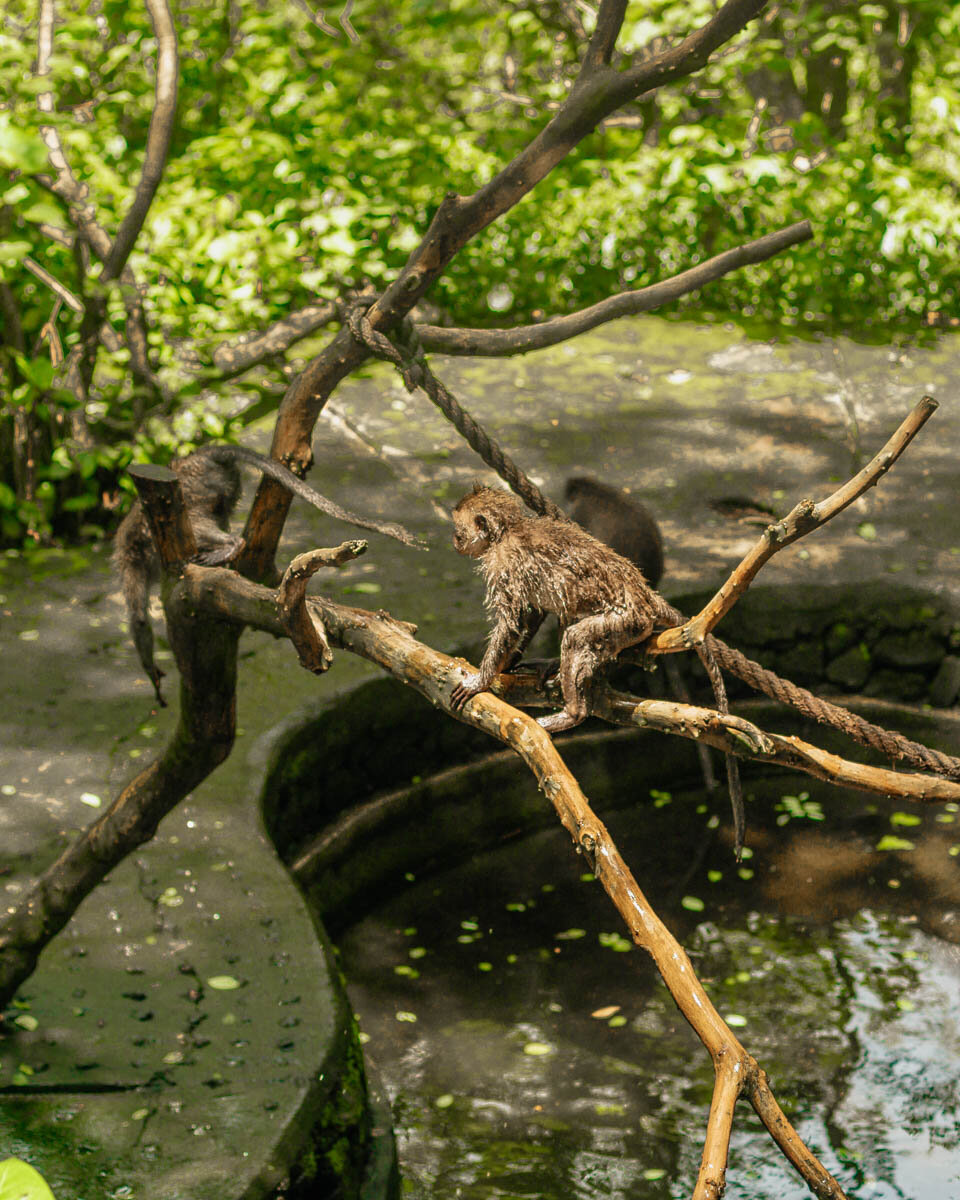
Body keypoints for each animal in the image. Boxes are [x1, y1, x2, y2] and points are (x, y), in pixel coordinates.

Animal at [112, 444, 420, 700]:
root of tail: (199, 456)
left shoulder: (132, 560)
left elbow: (138, 617)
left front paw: (151, 673)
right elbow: (139, 618)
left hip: (193, 487)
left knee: (200, 525)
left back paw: (231, 545)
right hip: (218, 487)